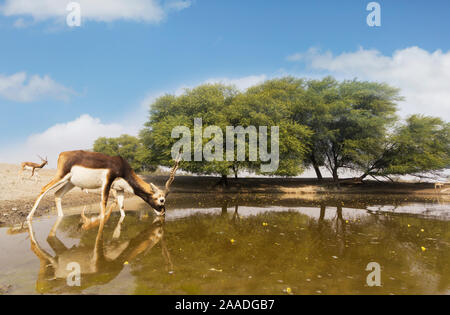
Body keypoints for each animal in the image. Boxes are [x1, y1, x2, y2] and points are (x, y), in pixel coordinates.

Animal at [26, 151, 180, 221]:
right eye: (161, 200)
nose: (163, 213)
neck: (122, 168)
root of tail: (62, 154)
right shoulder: (107, 182)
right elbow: (104, 204)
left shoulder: (119, 190)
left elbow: (122, 209)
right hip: (61, 177)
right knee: (43, 189)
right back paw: (28, 217)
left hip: (70, 182)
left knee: (57, 194)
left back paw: (60, 217)